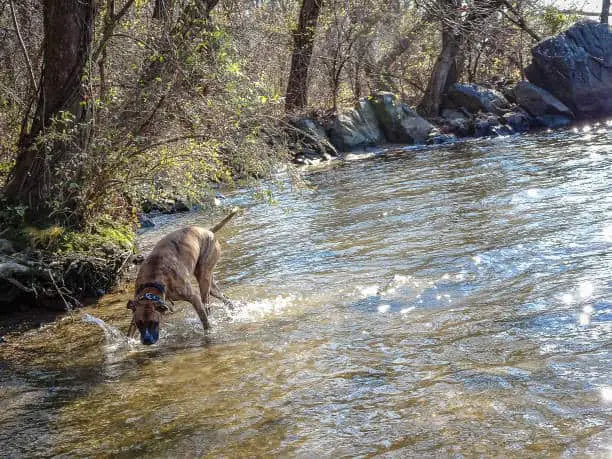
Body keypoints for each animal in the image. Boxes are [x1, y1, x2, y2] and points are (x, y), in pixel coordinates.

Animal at [125, 208, 238, 344]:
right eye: (139, 324)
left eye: (154, 322)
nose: (147, 341)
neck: (153, 282)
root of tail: (208, 231)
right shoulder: (137, 305)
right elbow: (129, 332)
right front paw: (127, 344)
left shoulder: (194, 297)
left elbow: (204, 320)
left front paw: (208, 333)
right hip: (210, 286)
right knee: (224, 297)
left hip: (204, 282)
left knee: (207, 306)